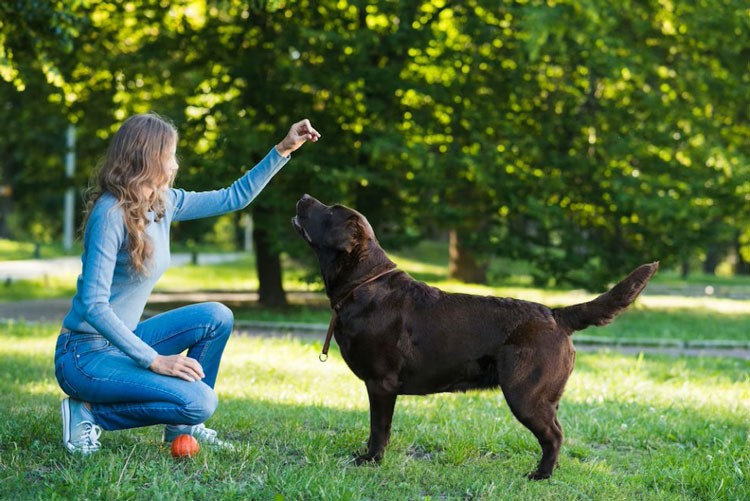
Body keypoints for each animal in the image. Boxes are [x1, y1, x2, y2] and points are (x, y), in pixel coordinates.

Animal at [294, 193, 656, 478]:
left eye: (331, 210)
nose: (304, 197)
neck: (364, 283)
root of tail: (555, 314)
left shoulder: (381, 383)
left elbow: (379, 428)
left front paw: (371, 460)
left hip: (526, 394)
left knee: (554, 436)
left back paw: (540, 475)